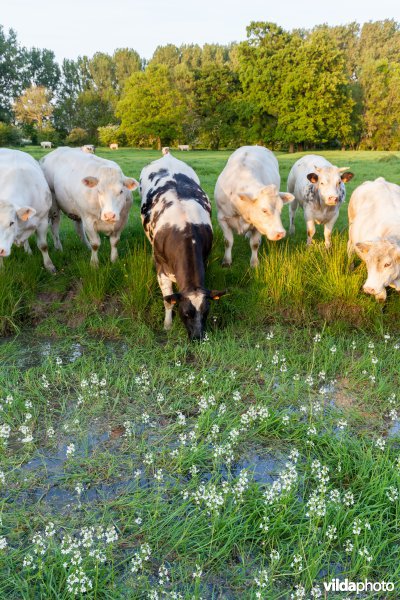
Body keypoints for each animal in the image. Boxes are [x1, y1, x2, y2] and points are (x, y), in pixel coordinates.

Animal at [140, 151, 225, 338]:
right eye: (186, 313)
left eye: (206, 312)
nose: (198, 337)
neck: (184, 227)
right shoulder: (161, 270)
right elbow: (168, 301)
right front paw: (167, 325)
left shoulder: (205, 259)